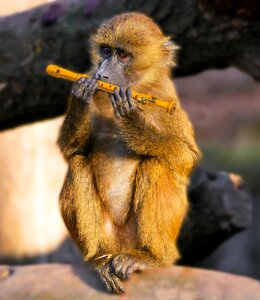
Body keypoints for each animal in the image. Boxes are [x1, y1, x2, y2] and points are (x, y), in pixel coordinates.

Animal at [58, 12, 201, 292]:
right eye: (106, 50)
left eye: (123, 55)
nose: (102, 73)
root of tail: (121, 247)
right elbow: (70, 151)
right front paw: (81, 94)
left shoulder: (165, 95)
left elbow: (186, 158)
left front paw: (132, 120)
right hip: (108, 236)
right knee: (78, 164)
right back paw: (98, 259)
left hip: (151, 235)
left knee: (155, 165)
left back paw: (152, 258)